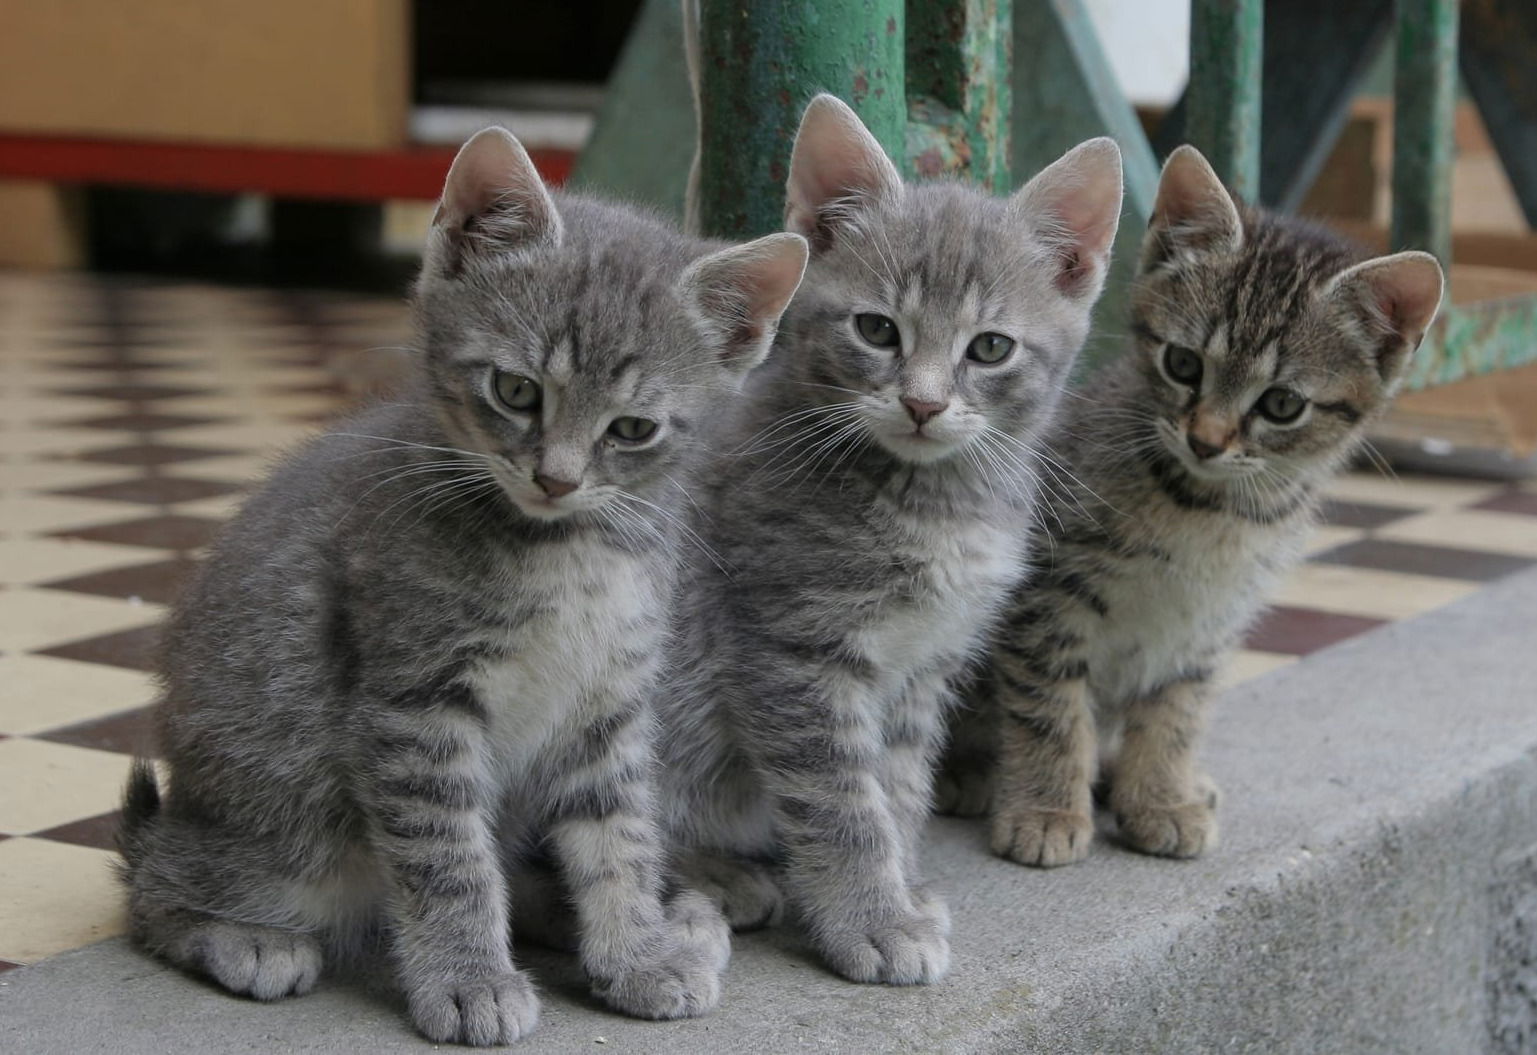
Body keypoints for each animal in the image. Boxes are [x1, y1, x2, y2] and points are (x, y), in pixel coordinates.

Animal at [115, 128, 811, 1045]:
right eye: (516, 390)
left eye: (632, 429)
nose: (556, 478)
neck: (568, 551)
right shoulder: (414, 705)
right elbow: (448, 858)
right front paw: (468, 978)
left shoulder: (608, 702)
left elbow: (618, 834)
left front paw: (634, 951)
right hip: (291, 828)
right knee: (154, 878)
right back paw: (241, 936)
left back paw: (658, 919)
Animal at [654, 94, 1125, 990]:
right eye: (877, 330)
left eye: (989, 347)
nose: (922, 403)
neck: (934, 503)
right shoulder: (793, 651)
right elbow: (842, 800)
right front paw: (869, 918)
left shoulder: (923, 666)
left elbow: (897, 789)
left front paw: (900, 885)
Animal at [928, 144, 1444, 873]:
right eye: (1182, 363)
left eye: (1281, 404)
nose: (1205, 439)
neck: (1210, 511)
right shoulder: (1047, 595)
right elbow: (1048, 704)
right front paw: (1046, 810)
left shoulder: (1208, 623)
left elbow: (1177, 712)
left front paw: (1161, 797)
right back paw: (969, 773)